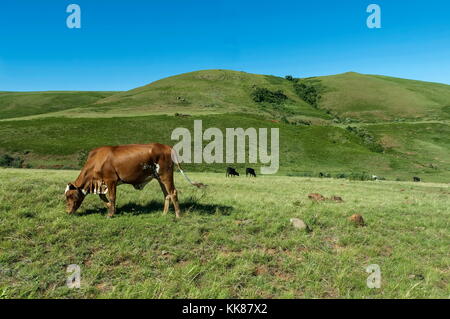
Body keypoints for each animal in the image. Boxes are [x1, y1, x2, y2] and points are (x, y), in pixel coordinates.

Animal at [64, 144, 202, 219]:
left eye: (69, 195)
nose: (67, 212)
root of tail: (166, 146)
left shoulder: (111, 180)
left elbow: (112, 197)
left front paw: (111, 214)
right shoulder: (102, 183)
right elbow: (103, 197)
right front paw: (110, 207)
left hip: (165, 174)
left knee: (173, 192)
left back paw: (178, 215)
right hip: (159, 177)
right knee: (166, 195)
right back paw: (164, 214)